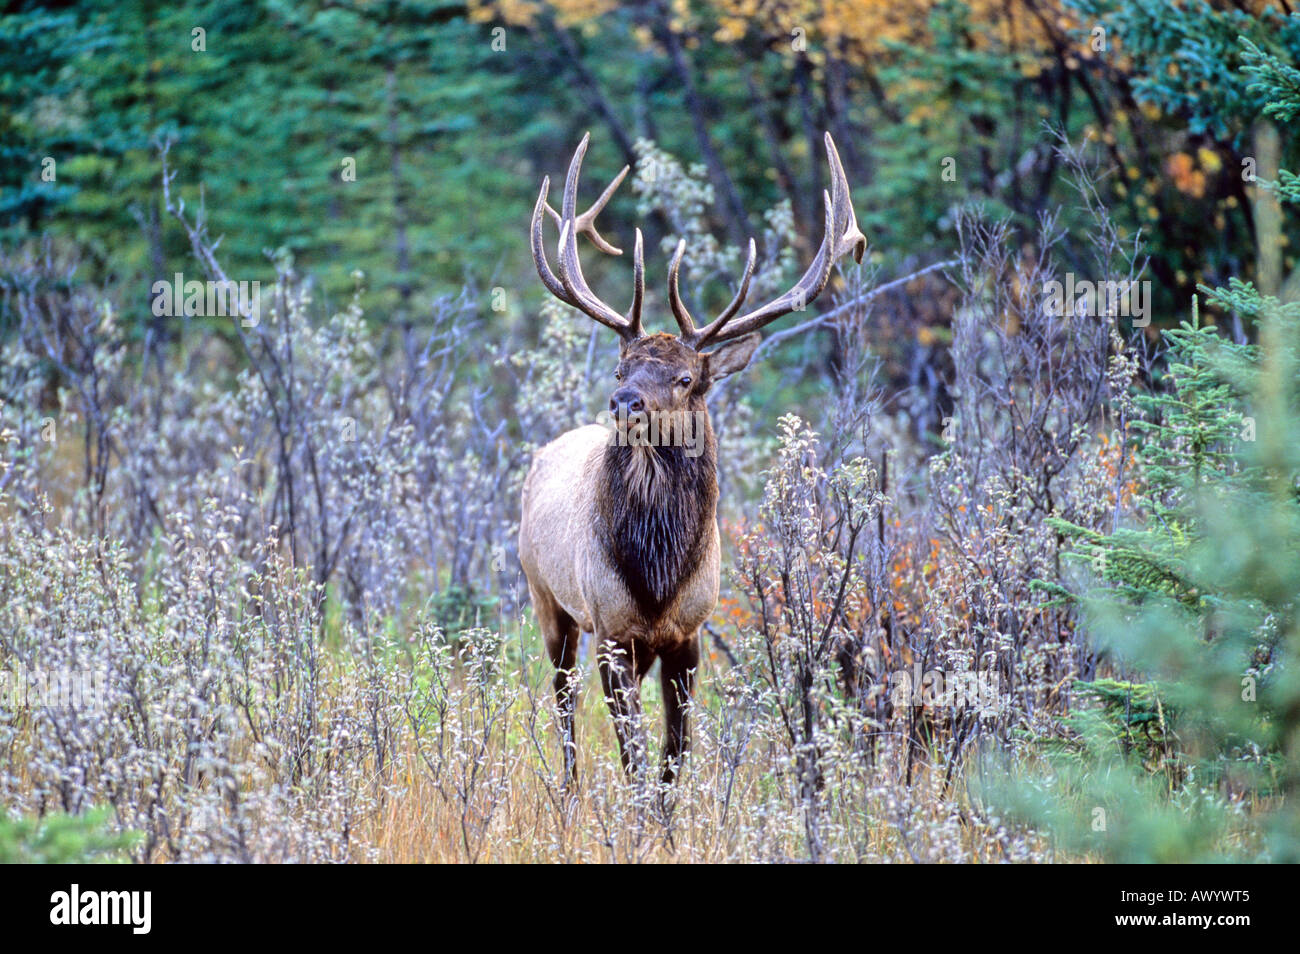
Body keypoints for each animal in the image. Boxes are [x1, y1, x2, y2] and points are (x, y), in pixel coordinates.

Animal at [517, 130, 863, 790]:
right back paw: (569, 791)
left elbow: (675, 756)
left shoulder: (691, 634)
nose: (624, 401)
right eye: (620, 369)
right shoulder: (612, 631)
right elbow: (632, 755)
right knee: (563, 704)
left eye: (684, 378)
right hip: (546, 597)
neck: (657, 580)